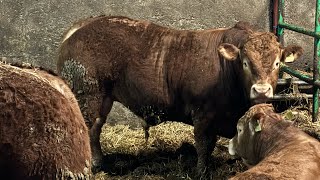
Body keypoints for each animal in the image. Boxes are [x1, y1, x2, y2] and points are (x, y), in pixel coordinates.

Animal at [56, 15, 304, 176]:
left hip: (102, 98)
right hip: (88, 94)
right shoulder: (203, 114)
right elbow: (203, 146)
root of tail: (83, 26)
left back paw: (99, 162)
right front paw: (201, 171)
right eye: (244, 63)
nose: (261, 90)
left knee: (95, 128)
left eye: (277, 63)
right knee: (86, 128)